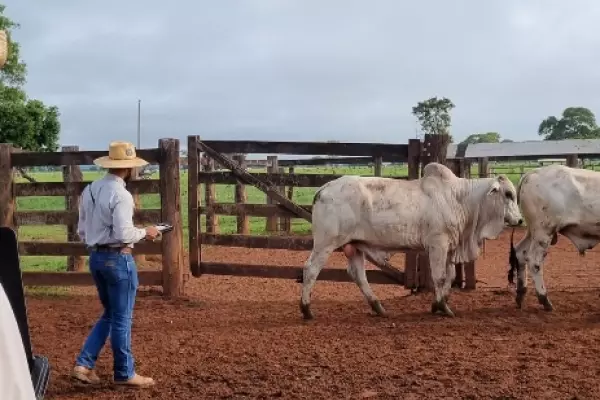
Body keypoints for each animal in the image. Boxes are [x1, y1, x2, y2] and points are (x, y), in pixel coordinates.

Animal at [298, 161, 520, 320]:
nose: (519, 220)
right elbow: (439, 277)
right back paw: (306, 309)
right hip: (325, 243)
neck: (460, 198)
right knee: (311, 269)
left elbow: (450, 276)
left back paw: (378, 307)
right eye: (508, 194)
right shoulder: (438, 244)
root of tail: (324, 188)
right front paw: (443, 307)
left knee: (358, 275)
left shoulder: (450, 247)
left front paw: (438, 304)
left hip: (354, 246)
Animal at [508, 164, 600, 310]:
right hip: (544, 231)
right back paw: (544, 300)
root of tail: (532, 173)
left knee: (520, 253)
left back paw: (521, 294)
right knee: (534, 261)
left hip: (533, 232)